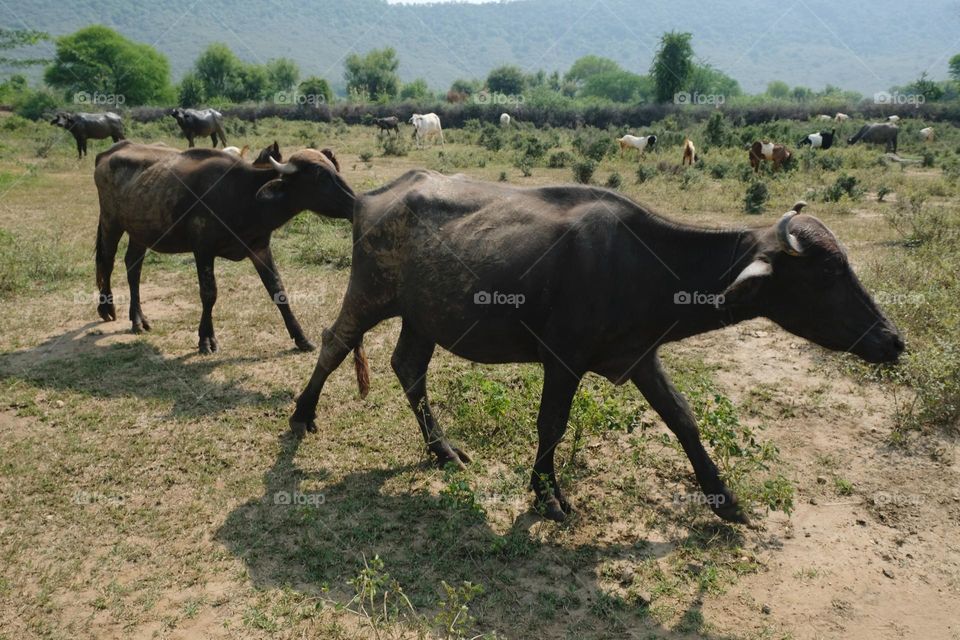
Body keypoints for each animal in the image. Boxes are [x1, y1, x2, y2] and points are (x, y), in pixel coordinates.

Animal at [91, 142, 348, 356]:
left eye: (334, 169)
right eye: (319, 175)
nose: (352, 199)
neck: (244, 195)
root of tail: (110, 151)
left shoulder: (259, 249)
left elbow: (278, 290)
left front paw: (301, 338)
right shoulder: (202, 249)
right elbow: (209, 294)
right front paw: (206, 339)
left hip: (140, 232)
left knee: (133, 267)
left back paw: (138, 318)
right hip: (111, 222)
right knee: (107, 262)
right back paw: (107, 308)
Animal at [288, 170, 904, 524]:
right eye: (826, 274)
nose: (892, 341)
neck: (643, 264)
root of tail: (369, 199)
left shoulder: (641, 356)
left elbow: (683, 419)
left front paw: (724, 498)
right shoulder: (563, 360)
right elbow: (552, 425)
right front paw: (547, 494)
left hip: (423, 317)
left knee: (408, 367)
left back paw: (442, 449)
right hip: (369, 292)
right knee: (334, 343)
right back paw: (301, 414)